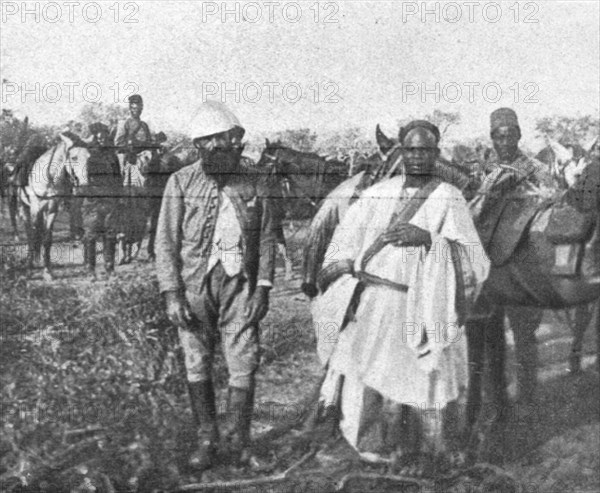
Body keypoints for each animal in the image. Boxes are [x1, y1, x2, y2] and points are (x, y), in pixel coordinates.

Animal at [18, 133, 92, 280]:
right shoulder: (35, 208)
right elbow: (34, 236)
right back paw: (30, 261)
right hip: (24, 209)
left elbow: (47, 238)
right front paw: (29, 270)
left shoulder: (52, 209)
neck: (48, 177)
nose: (84, 186)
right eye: (74, 157)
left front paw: (47, 271)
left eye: (89, 157)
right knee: (30, 234)